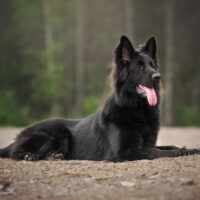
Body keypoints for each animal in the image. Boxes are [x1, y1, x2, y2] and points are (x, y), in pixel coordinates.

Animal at [0, 36, 200, 161]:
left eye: (153, 65)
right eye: (139, 67)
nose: (158, 77)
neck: (136, 109)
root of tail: (20, 134)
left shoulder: (148, 142)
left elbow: (169, 146)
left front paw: (189, 150)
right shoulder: (124, 151)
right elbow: (155, 151)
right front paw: (178, 154)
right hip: (57, 132)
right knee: (15, 152)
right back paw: (28, 155)